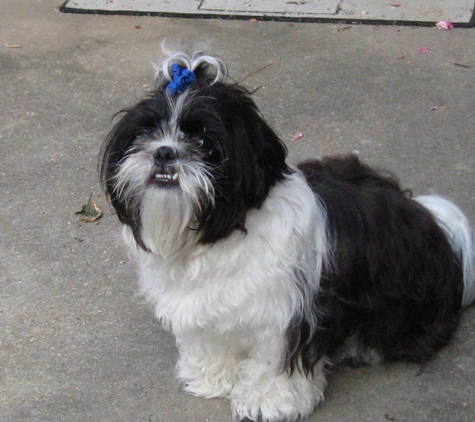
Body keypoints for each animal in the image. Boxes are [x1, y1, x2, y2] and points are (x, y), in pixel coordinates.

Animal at [98, 50, 474, 422]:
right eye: (146, 133)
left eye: (203, 142)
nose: (164, 151)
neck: (223, 234)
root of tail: (428, 217)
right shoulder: (206, 310)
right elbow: (211, 342)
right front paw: (210, 377)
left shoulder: (286, 314)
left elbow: (273, 362)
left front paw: (266, 401)